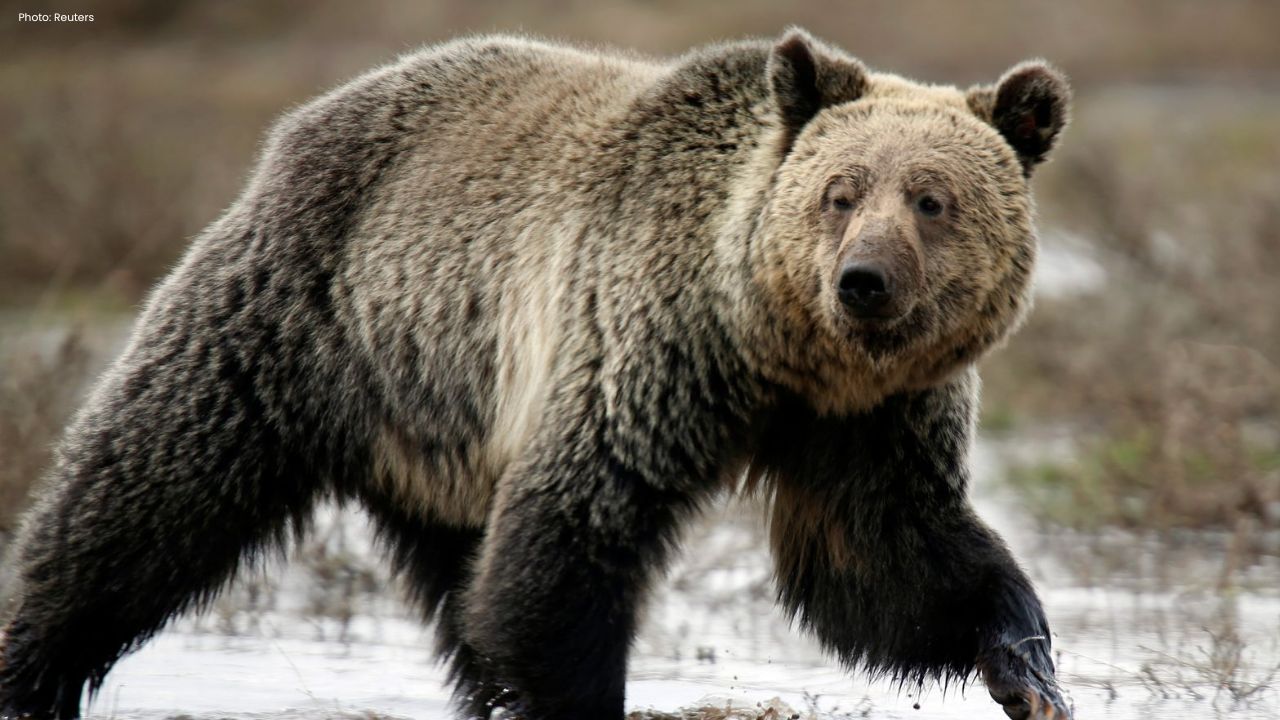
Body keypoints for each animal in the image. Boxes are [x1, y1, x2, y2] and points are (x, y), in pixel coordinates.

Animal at [0, 29, 1072, 720]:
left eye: (932, 199)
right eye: (840, 192)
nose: (863, 282)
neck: (778, 350)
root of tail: (306, 120)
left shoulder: (872, 419)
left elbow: (885, 558)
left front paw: (1028, 665)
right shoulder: (646, 344)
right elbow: (572, 534)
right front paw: (576, 699)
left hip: (444, 422)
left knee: (462, 581)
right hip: (303, 316)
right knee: (145, 493)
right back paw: (32, 664)